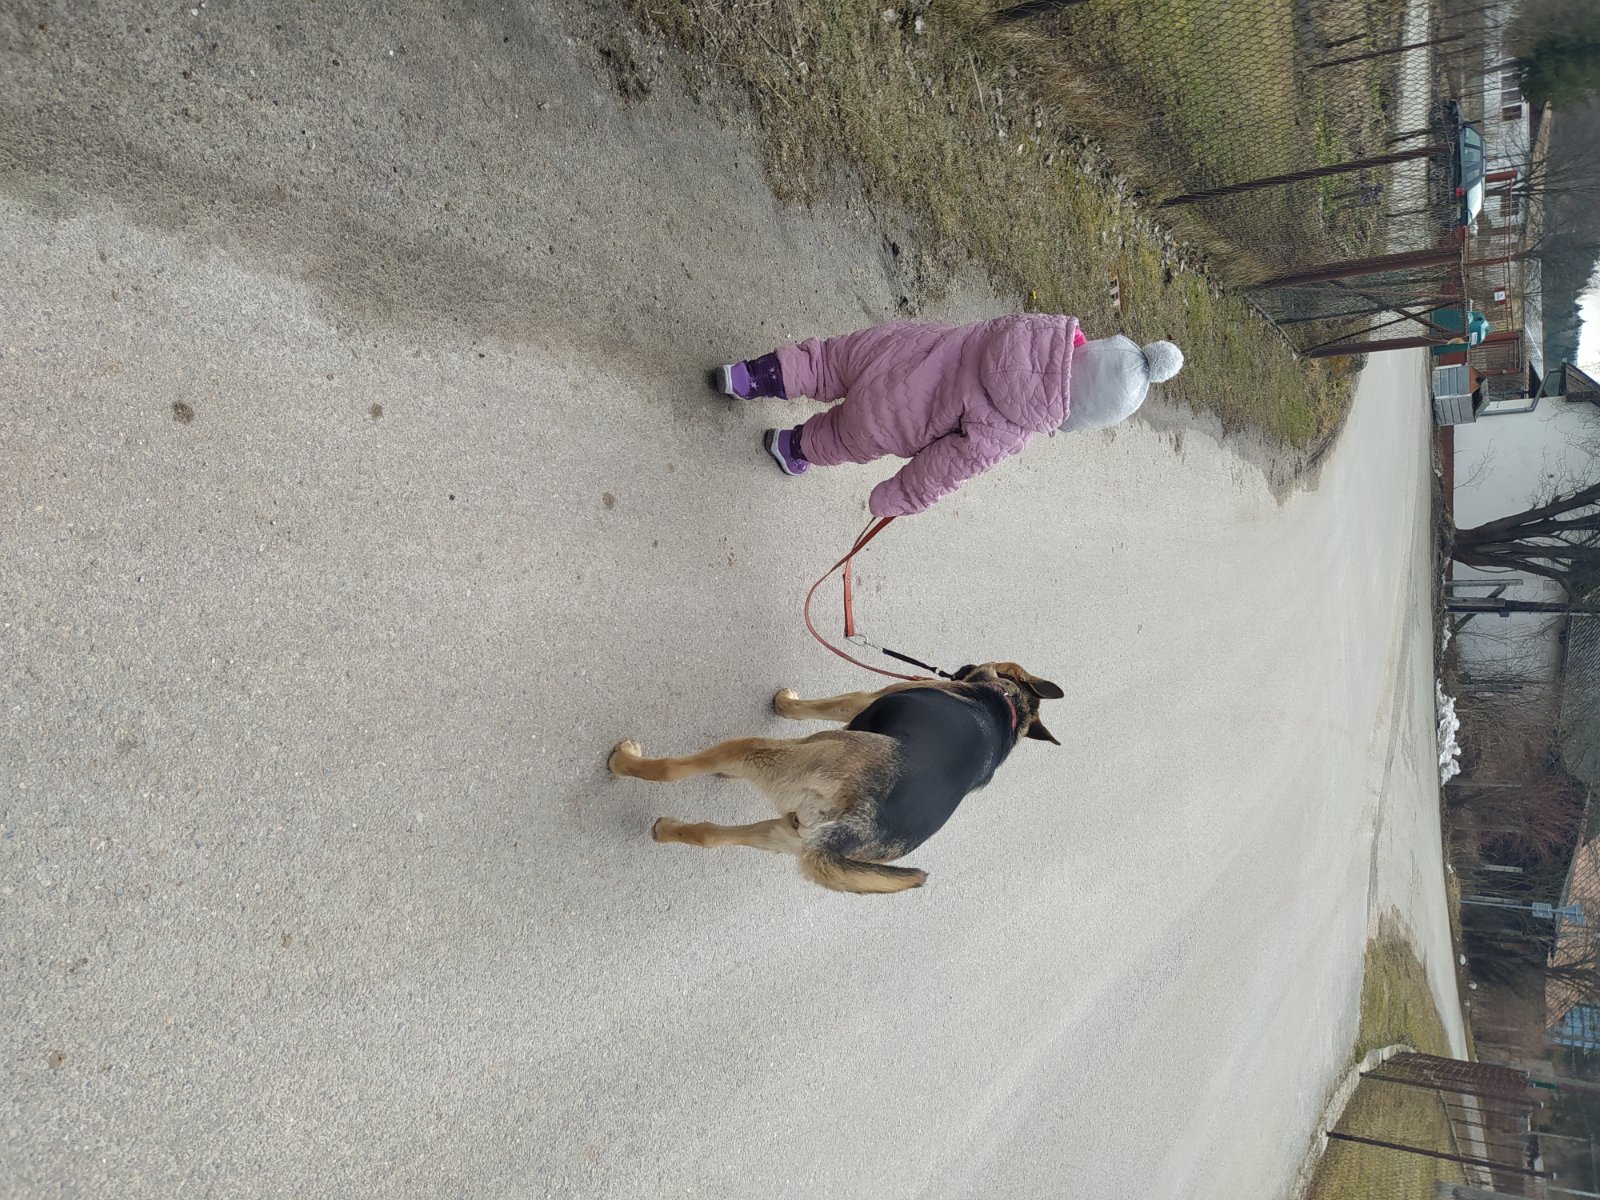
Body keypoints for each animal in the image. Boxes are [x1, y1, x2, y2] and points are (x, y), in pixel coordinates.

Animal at [608, 662, 1062, 894]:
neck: (1007, 706)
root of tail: (858, 823)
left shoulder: (858, 703)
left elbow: (822, 705)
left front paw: (786, 704)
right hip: (786, 835)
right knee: (710, 837)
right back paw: (668, 829)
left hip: (773, 756)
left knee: (675, 770)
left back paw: (627, 762)